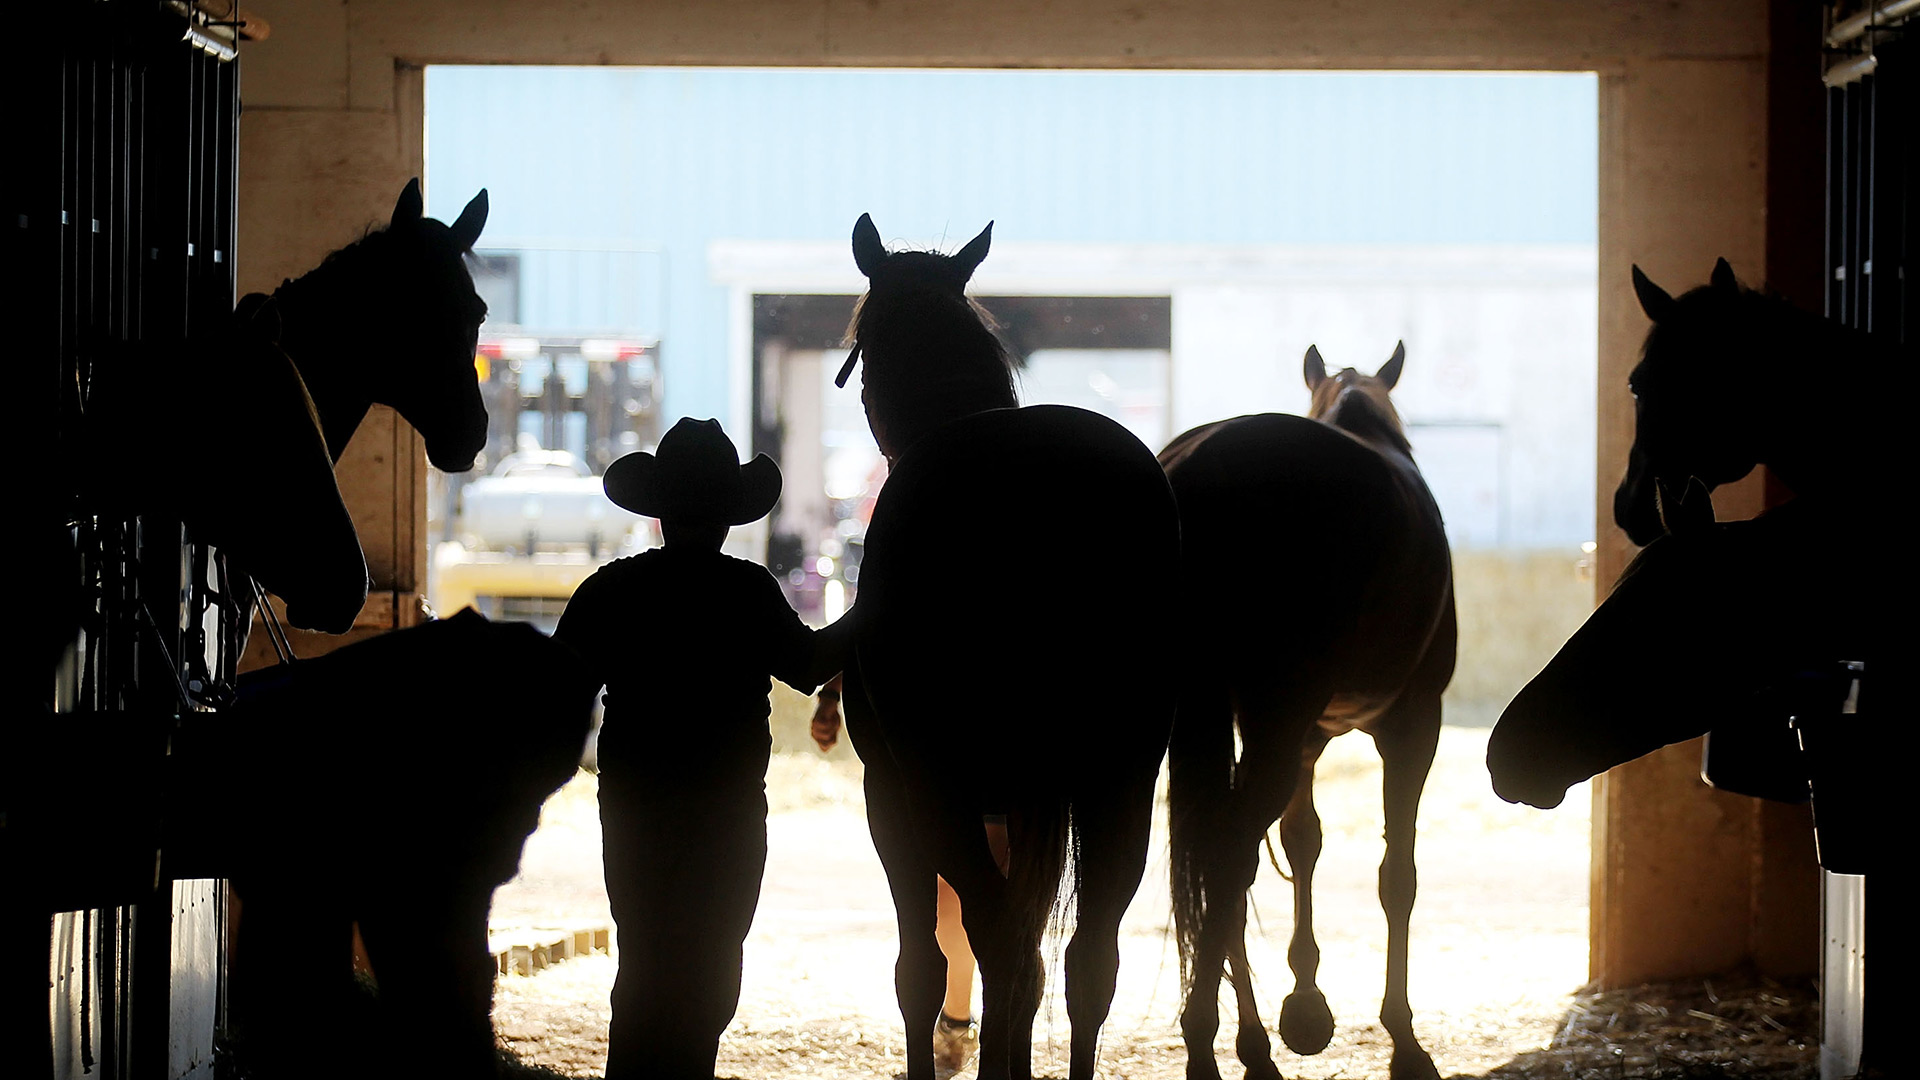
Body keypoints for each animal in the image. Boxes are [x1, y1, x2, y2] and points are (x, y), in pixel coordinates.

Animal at [844, 212, 1182, 1076]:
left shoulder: (893, 794)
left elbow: (923, 968)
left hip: (946, 787)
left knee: (999, 944)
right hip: (1119, 782)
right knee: (1084, 958)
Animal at [1152, 342, 1451, 1076]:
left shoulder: (1308, 740)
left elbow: (1302, 842)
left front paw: (1306, 1004)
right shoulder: (1413, 723)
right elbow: (1397, 875)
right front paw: (1401, 1037)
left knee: (1220, 860)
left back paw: (1243, 1042)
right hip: (1278, 719)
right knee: (1230, 855)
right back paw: (1210, 1040)